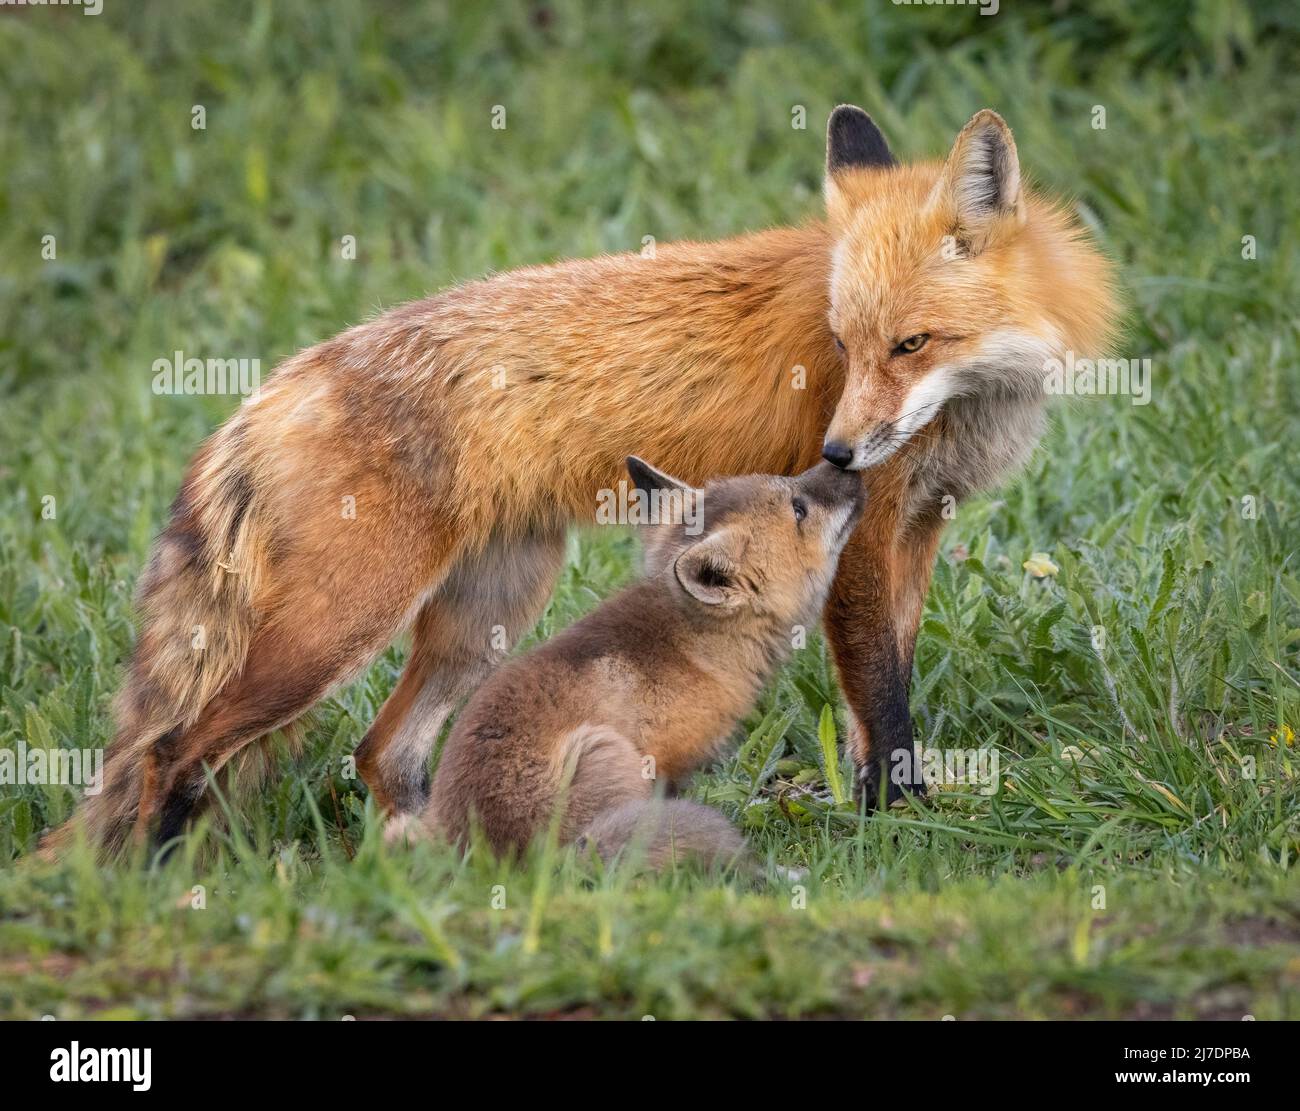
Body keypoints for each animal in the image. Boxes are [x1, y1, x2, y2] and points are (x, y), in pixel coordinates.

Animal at [43, 103, 1118, 857]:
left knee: (380, 750)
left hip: (488, 613)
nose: (841, 453)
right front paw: (902, 824)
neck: (971, 407)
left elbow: (880, 692)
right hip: (331, 634)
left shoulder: (920, 524)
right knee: (169, 752)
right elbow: (884, 700)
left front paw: (887, 810)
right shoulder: (865, 539)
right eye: (845, 345)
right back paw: (161, 882)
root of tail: (279, 383)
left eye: (910, 344)